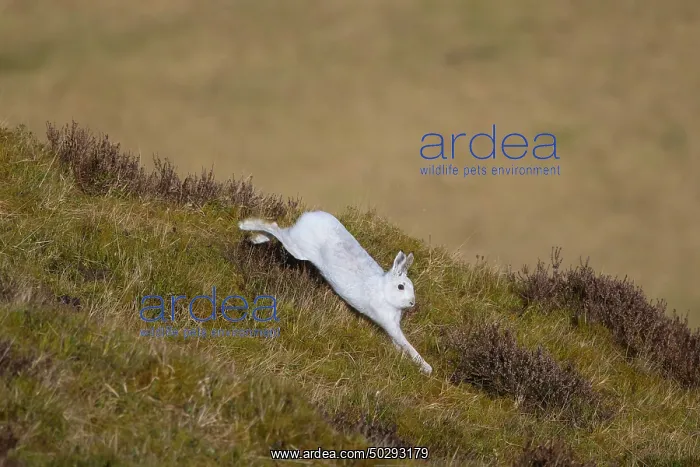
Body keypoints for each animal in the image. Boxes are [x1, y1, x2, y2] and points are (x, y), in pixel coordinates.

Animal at [238, 210, 432, 375]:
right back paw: (245, 226)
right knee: (275, 228)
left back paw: (255, 238)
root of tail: (310, 216)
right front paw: (426, 367)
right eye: (401, 287)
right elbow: (406, 344)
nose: (412, 302)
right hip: (299, 248)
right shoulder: (389, 324)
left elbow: (399, 345)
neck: (383, 289)